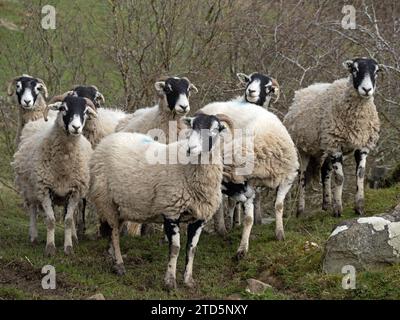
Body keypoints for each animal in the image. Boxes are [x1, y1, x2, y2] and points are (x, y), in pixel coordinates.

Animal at [12, 95, 95, 255]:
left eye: (85, 111)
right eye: (63, 108)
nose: (76, 128)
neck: (63, 166)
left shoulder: (75, 191)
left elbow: (68, 220)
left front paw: (68, 247)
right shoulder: (44, 188)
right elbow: (50, 220)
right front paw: (50, 248)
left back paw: (74, 237)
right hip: (30, 188)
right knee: (32, 209)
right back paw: (33, 236)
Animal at [87, 112, 231, 288]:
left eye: (215, 129)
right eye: (192, 126)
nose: (191, 149)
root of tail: (105, 141)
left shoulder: (199, 217)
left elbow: (192, 249)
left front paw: (188, 280)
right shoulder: (171, 211)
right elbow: (175, 248)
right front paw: (170, 281)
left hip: (120, 205)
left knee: (113, 231)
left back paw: (111, 258)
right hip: (106, 199)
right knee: (114, 233)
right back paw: (119, 265)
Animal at [200, 92, 300, 258]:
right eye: (229, 185)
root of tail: (210, 106)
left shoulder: (287, 178)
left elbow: (278, 206)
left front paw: (279, 233)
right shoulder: (249, 185)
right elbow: (248, 219)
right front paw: (242, 248)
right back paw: (222, 228)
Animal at [284, 57, 382, 218]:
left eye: (376, 71)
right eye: (354, 69)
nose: (367, 90)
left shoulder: (361, 146)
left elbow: (360, 174)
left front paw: (359, 207)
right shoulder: (335, 145)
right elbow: (340, 178)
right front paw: (337, 209)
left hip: (328, 147)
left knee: (324, 169)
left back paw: (326, 203)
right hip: (304, 149)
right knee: (302, 177)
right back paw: (300, 210)